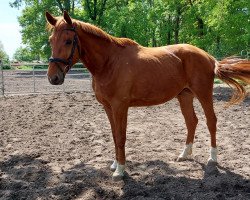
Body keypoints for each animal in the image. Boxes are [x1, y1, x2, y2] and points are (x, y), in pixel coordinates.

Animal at [46, 10, 249, 180]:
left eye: (68, 41)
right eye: (50, 40)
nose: (53, 77)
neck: (109, 62)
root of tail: (208, 57)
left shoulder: (120, 107)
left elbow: (121, 136)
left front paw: (120, 170)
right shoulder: (108, 107)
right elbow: (114, 135)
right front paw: (115, 165)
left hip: (203, 93)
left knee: (211, 121)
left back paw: (212, 158)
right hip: (184, 96)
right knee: (192, 121)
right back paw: (184, 154)